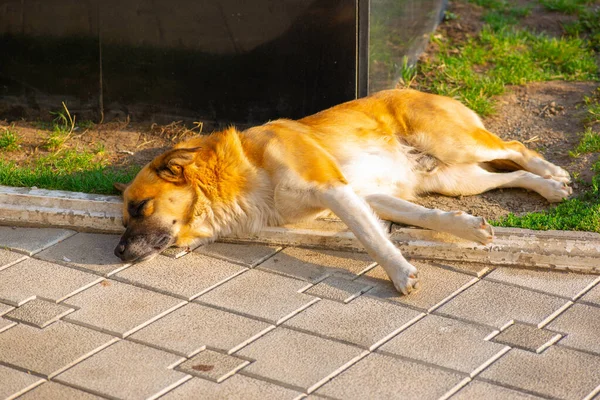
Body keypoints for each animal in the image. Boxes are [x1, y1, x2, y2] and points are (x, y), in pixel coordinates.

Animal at [113, 89, 572, 294]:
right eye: (124, 217)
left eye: (139, 208)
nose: (116, 253)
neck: (235, 176)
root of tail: (418, 88)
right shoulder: (365, 194)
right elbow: (422, 216)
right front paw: (469, 229)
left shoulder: (333, 189)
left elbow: (371, 238)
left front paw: (401, 275)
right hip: (454, 179)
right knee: (508, 175)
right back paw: (549, 188)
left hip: (455, 143)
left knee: (517, 148)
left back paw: (555, 172)